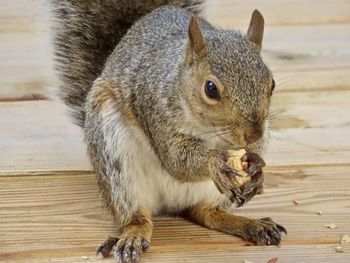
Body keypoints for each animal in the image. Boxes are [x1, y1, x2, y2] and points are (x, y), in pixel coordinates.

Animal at [51, 1, 288, 262]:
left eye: (272, 83)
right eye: (211, 89)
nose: (253, 134)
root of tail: (171, 203)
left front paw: (257, 169)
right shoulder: (154, 107)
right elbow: (176, 160)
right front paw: (215, 161)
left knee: (206, 213)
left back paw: (251, 225)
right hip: (115, 159)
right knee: (136, 216)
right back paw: (133, 235)